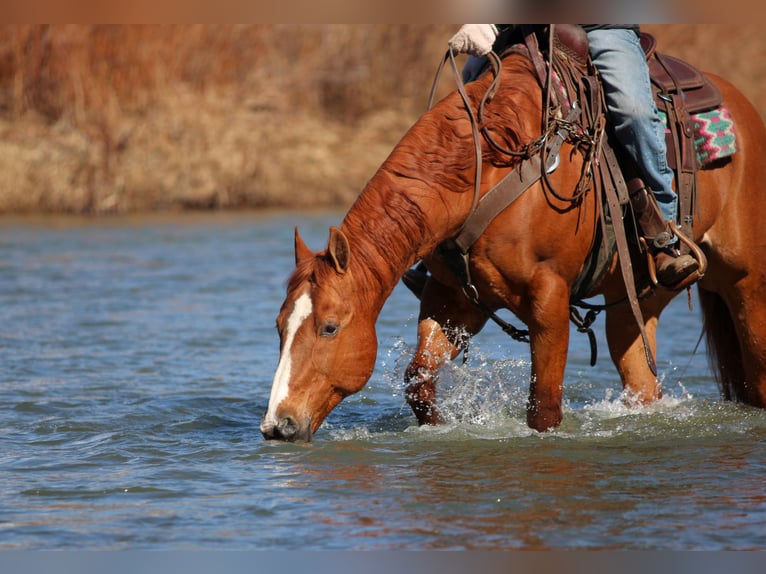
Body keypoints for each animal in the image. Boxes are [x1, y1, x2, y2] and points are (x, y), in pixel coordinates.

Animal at [260, 37, 766, 442]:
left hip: (747, 286)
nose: (278, 425)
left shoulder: (550, 300)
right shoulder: (453, 300)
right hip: (636, 301)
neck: (486, 174)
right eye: (280, 326)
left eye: (329, 327)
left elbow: (544, 408)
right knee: (643, 383)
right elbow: (420, 380)